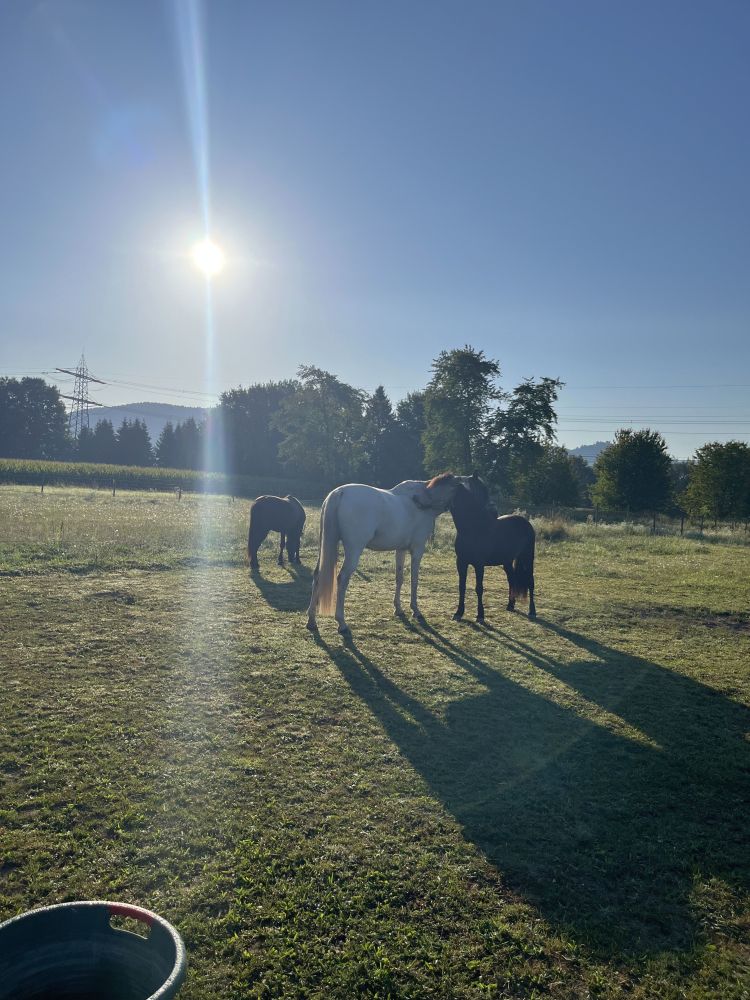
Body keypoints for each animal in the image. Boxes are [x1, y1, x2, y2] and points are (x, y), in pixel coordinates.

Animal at [306, 473, 460, 635]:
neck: (422, 500)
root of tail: (339, 493)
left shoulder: (401, 549)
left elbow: (399, 578)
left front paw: (398, 609)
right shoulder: (417, 549)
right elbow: (414, 579)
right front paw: (415, 610)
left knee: (318, 575)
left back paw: (311, 621)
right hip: (354, 550)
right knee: (342, 579)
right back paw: (341, 623)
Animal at [450, 473, 536, 622]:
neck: (473, 529)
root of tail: (526, 523)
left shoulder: (479, 564)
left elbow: (479, 588)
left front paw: (480, 615)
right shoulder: (461, 562)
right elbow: (462, 586)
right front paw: (459, 612)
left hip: (527, 557)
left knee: (530, 581)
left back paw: (532, 611)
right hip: (507, 560)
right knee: (512, 579)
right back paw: (510, 605)